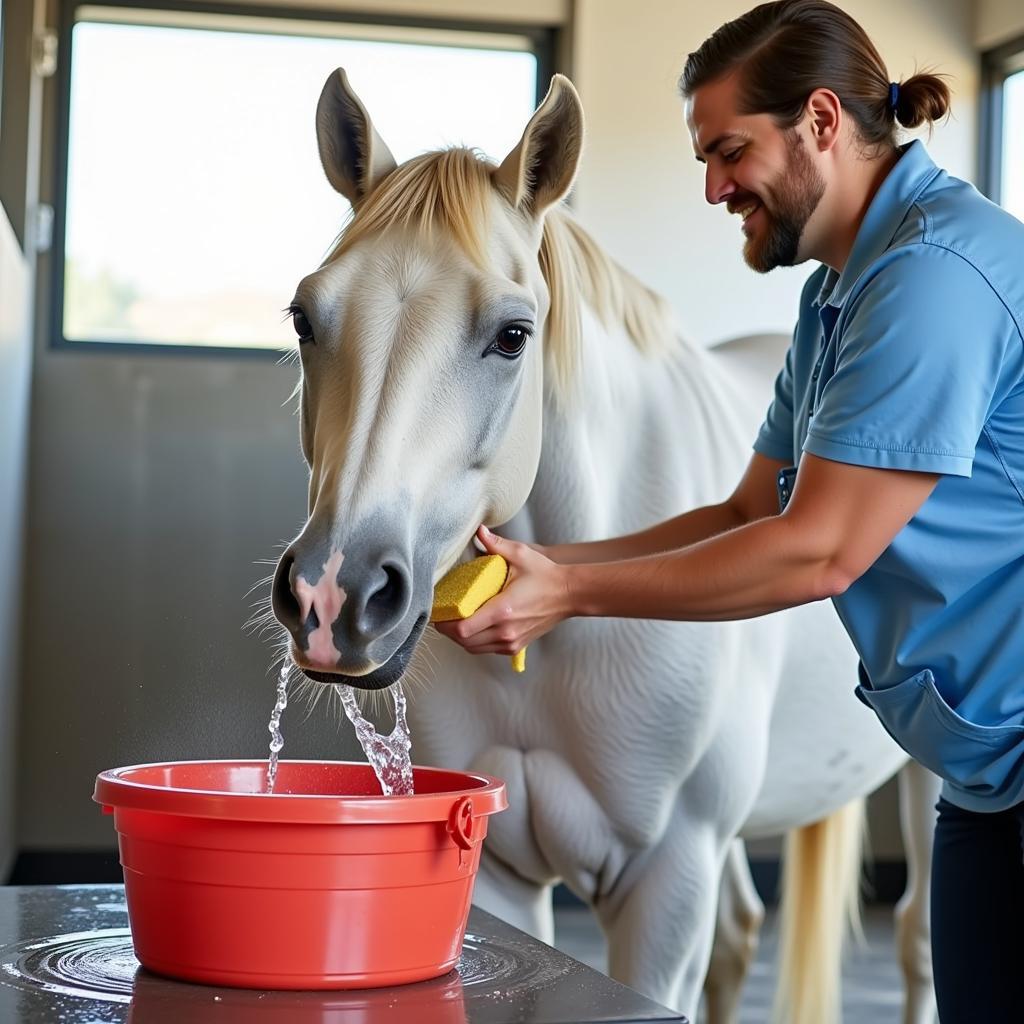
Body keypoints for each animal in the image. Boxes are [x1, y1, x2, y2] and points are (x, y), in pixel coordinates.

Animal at [268, 72, 937, 1024]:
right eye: (304, 317)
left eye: (513, 334)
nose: (336, 597)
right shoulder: (503, 868)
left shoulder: (669, 877)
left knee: (917, 936)